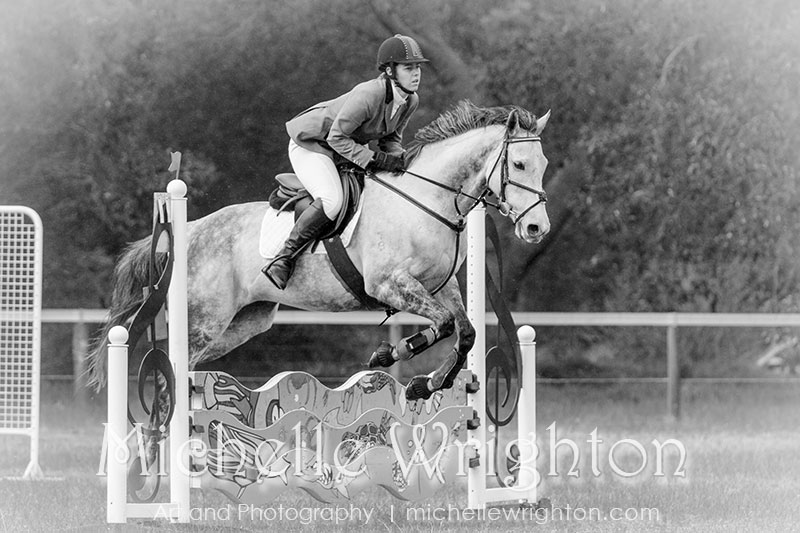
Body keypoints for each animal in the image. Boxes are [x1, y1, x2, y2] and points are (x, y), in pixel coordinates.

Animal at [87, 97, 552, 402]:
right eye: (520, 165)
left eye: (543, 165)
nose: (537, 228)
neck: (426, 200)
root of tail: (188, 232)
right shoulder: (390, 284)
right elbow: (443, 325)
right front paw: (394, 355)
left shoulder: (441, 287)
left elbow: (465, 332)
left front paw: (424, 381)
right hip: (204, 319)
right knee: (172, 361)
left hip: (242, 323)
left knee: (186, 363)